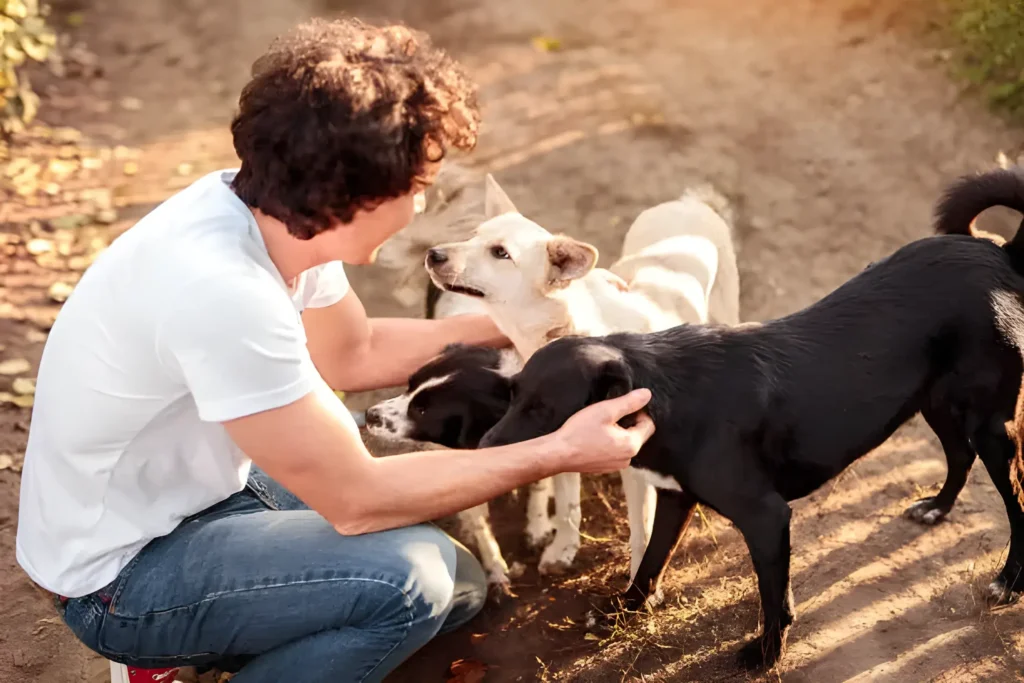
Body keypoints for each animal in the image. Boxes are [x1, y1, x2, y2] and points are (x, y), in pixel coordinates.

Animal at [477, 167, 1024, 671]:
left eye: (544, 409)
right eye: (513, 394)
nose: (481, 449)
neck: (666, 392)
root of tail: (999, 254)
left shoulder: (766, 517)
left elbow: (773, 600)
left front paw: (766, 655)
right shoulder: (674, 498)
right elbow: (650, 561)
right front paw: (620, 612)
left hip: (992, 427)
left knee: (1015, 501)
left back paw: (1008, 583)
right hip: (938, 404)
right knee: (960, 455)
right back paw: (937, 508)